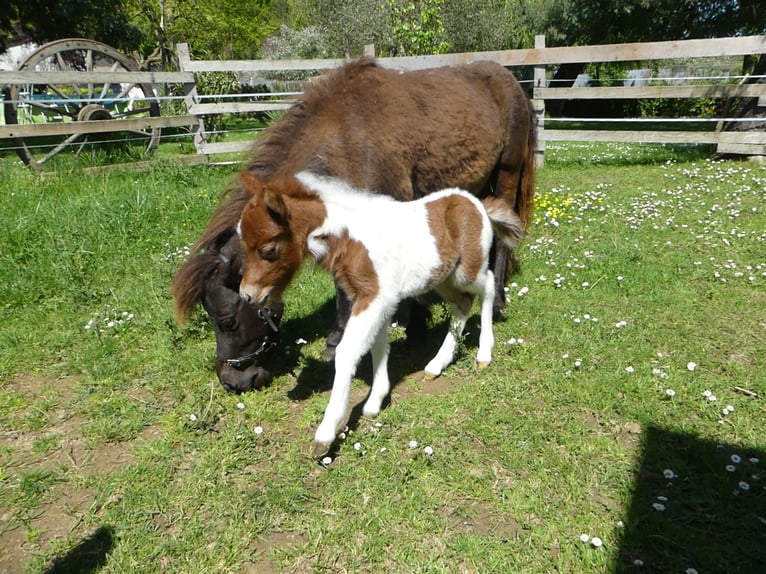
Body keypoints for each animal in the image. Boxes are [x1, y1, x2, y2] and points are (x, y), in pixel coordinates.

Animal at [172, 57, 536, 393]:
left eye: (227, 320)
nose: (232, 381)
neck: (348, 139)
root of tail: (510, 80)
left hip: (507, 174)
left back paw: (498, 300)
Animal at [237, 171, 523, 453]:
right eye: (243, 244)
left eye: (268, 249)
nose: (247, 294)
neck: (349, 238)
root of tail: (478, 205)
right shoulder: (377, 300)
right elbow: (377, 346)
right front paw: (376, 400)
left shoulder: (373, 298)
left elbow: (347, 352)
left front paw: (326, 433)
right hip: (443, 276)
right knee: (462, 304)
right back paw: (436, 365)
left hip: (467, 270)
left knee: (487, 286)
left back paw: (484, 354)